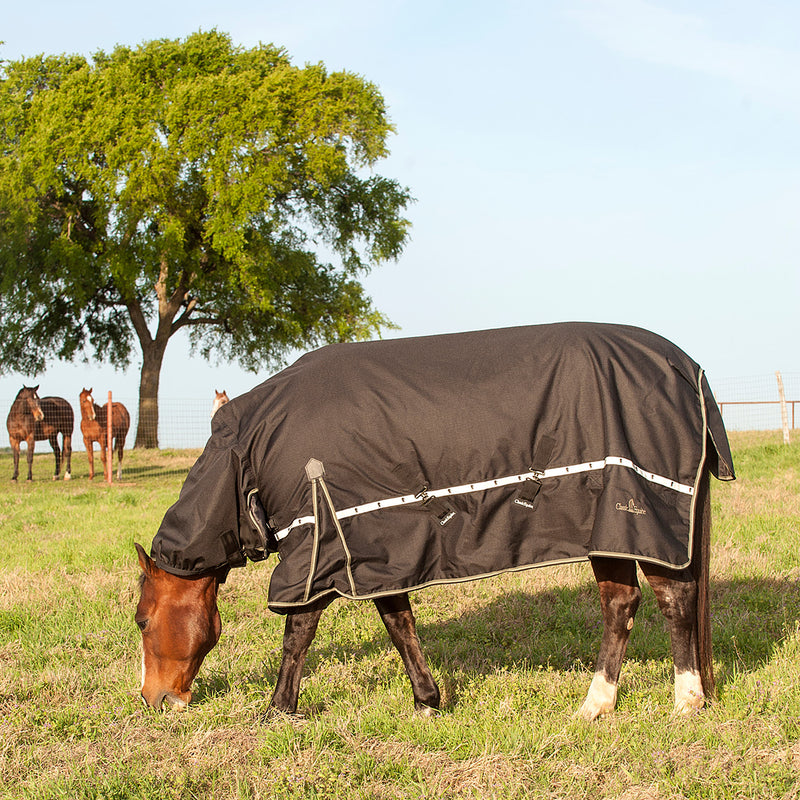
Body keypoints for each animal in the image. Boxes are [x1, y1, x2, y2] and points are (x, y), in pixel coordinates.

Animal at [134, 323, 735, 718]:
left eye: (141, 621)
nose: (155, 700)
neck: (252, 453)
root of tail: (689, 370)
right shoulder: (371, 549)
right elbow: (399, 624)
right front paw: (428, 701)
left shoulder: (316, 549)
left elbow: (298, 632)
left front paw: (278, 709)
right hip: (608, 531)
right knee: (622, 605)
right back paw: (596, 705)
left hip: (638, 518)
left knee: (673, 600)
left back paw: (686, 701)